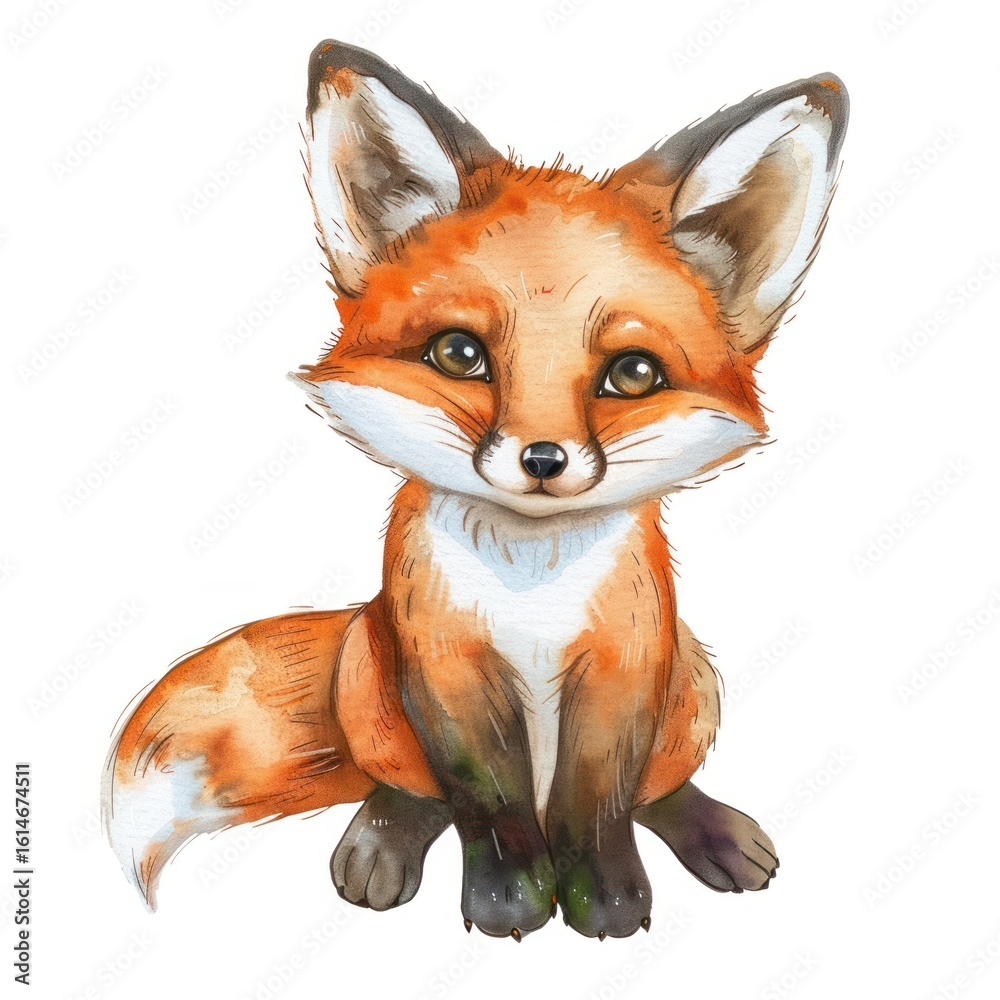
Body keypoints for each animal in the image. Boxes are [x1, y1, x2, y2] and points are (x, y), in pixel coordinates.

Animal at [103, 40, 848, 940]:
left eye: (633, 373)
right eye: (460, 354)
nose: (542, 459)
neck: (532, 595)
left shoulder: (624, 670)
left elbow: (600, 805)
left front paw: (606, 897)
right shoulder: (447, 671)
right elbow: (489, 805)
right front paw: (510, 898)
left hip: (692, 683)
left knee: (658, 790)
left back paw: (710, 830)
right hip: (369, 676)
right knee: (408, 792)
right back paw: (382, 843)